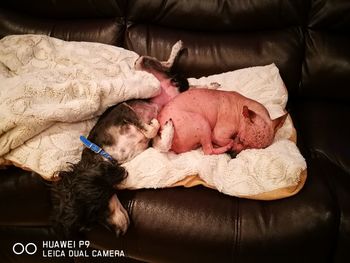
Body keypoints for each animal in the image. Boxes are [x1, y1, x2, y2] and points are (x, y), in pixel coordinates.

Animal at [50, 41, 187, 239]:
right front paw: (166, 128)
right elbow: (159, 142)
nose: (119, 233)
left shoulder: (123, 109)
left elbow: (150, 130)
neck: (104, 153)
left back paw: (178, 46)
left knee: (164, 63)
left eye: (98, 209)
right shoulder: (147, 141)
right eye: (91, 224)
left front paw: (155, 123)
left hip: (141, 65)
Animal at [153, 87, 288, 156]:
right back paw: (225, 147)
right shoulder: (217, 135)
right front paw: (230, 143)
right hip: (202, 122)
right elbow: (228, 140)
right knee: (208, 150)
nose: (233, 155)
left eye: (252, 149)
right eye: (241, 140)